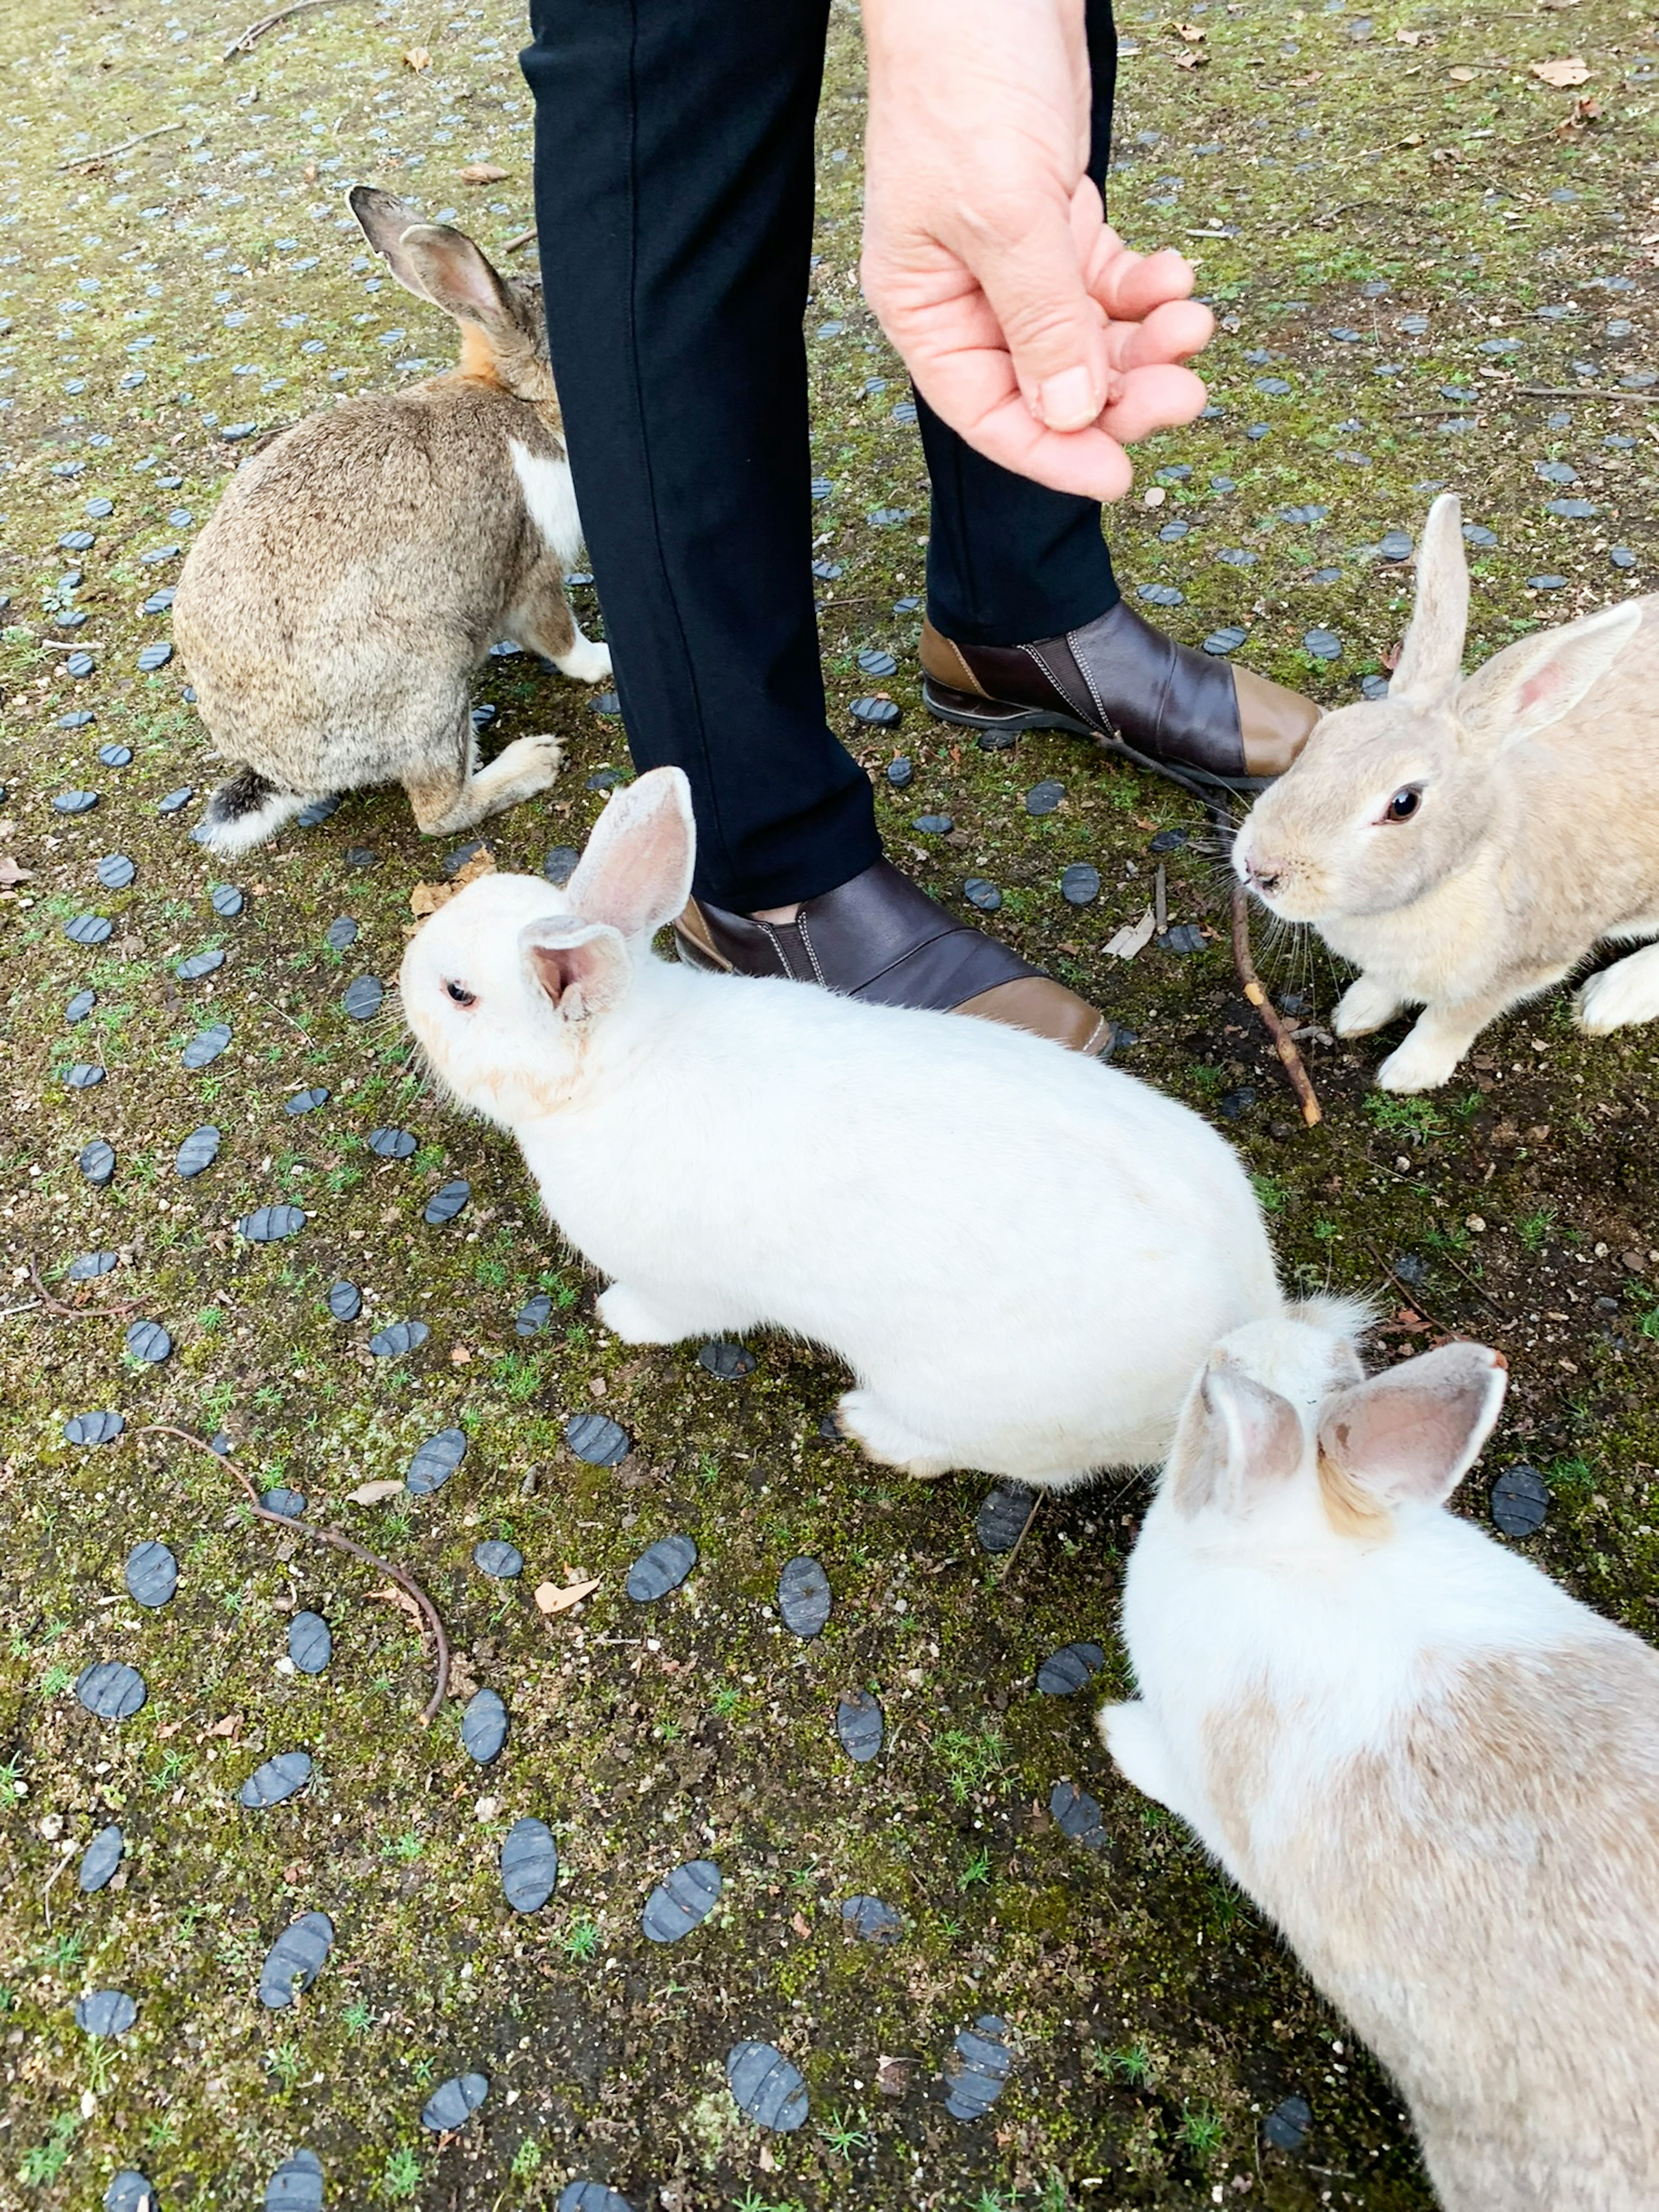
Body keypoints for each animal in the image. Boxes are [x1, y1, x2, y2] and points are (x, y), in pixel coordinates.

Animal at [172, 188, 615, 854]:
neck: (522, 402)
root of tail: (287, 771)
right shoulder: (533, 572)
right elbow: (560, 638)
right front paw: (603, 661)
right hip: (431, 680)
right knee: (438, 810)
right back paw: (532, 761)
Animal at [400, 765, 1283, 1486]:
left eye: (458, 993)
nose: (403, 976)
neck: (618, 1063)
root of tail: (1247, 1329)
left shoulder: (682, 1285)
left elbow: (671, 1315)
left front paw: (618, 1318)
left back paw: (873, 1430)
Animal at [1239, 498, 1659, 1093]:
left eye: (1404, 804)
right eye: (1322, 734)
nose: (1261, 868)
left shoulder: (1515, 970)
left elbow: (1450, 1019)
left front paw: (1408, 1073)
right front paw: (1358, 1013)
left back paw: (1611, 999)